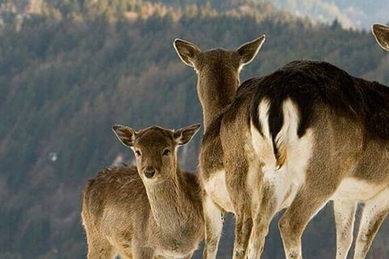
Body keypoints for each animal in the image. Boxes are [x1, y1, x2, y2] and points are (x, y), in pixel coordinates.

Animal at [82, 124, 203, 259]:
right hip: (97, 238)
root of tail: (90, 184)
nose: (149, 172)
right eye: (138, 151)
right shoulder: (139, 245)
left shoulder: (186, 252)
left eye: (166, 150)